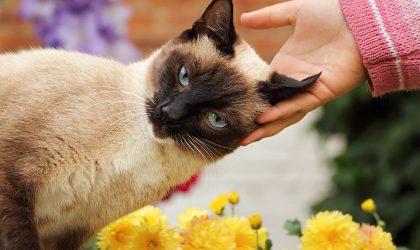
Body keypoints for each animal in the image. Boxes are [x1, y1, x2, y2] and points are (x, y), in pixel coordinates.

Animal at [0, 0, 318, 248]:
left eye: (215, 119)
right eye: (184, 76)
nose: (169, 113)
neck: (143, 149)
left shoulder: (70, 232)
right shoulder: (13, 185)